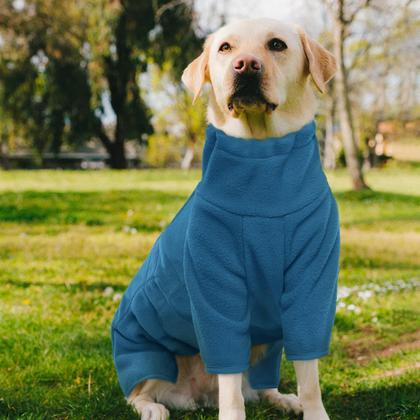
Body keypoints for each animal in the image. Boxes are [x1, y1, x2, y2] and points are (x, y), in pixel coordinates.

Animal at [127, 17, 334, 420]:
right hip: (153, 351)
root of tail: (198, 394)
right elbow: (230, 382)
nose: (246, 66)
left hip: (267, 344)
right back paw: (153, 407)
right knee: (138, 392)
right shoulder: (216, 286)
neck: (263, 162)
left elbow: (310, 372)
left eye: (276, 44)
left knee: (260, 384)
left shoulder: (312, 278)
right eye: (226, 48)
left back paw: (282, 398)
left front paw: (313, 410)